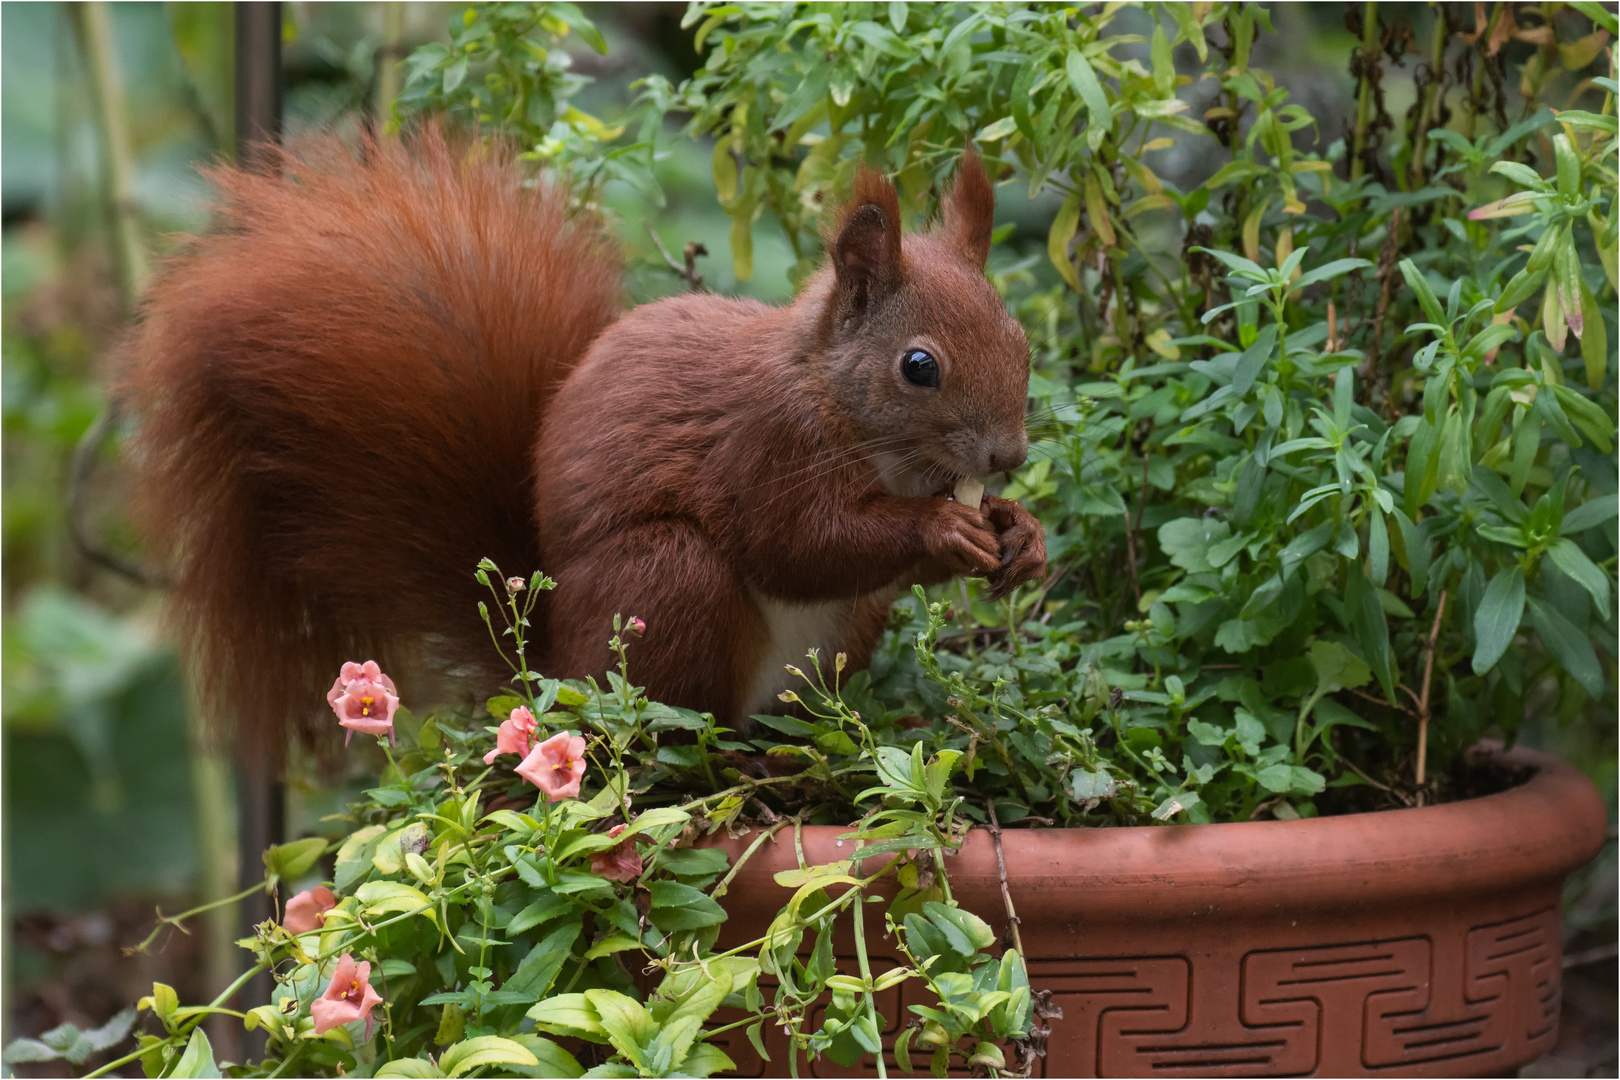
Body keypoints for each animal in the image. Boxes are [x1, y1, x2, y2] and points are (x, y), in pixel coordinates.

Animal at [132, 127, 1056, 761]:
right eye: (918, 366)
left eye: (1020, 338)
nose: (1007, 457)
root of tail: (554, 667)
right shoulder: (762, 445)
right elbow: (796, 544)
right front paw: (943, 530)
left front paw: (1022, 533)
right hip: (666, 582)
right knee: (666, 721)